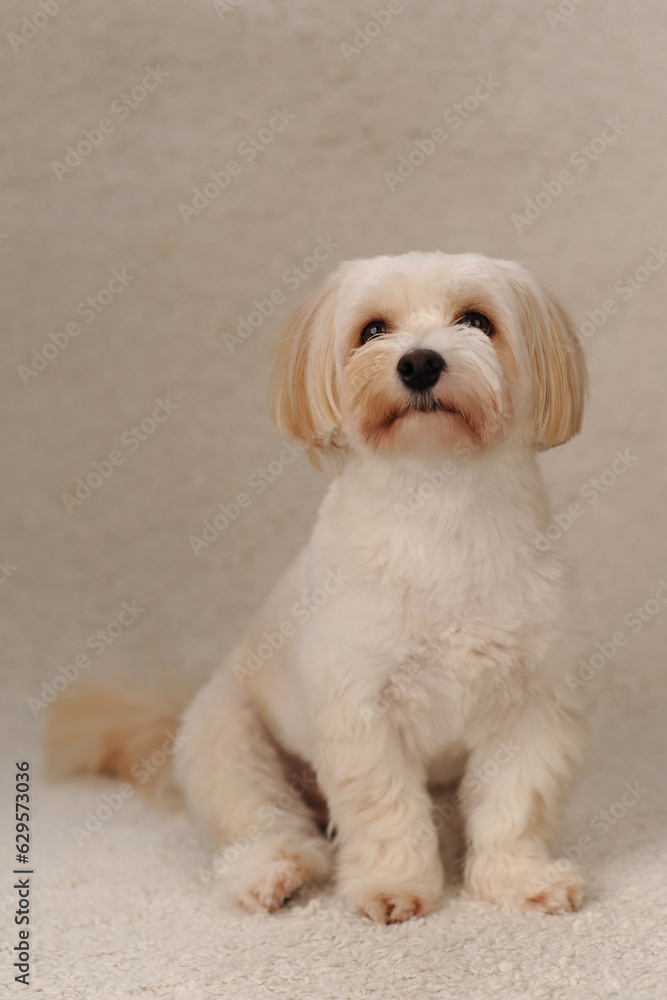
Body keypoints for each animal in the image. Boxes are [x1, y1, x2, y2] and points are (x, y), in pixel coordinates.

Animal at [47, 254, 588, 924]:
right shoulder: (359, 708)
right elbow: (384, 808)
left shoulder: (530, 706)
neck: (438, 500)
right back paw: (273, 871)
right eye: (372, 330)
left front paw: (521, 881)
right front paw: (391, 885)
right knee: (263, 822)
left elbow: (515, 806)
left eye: (477, 321)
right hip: (227, 740)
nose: (419, 362)